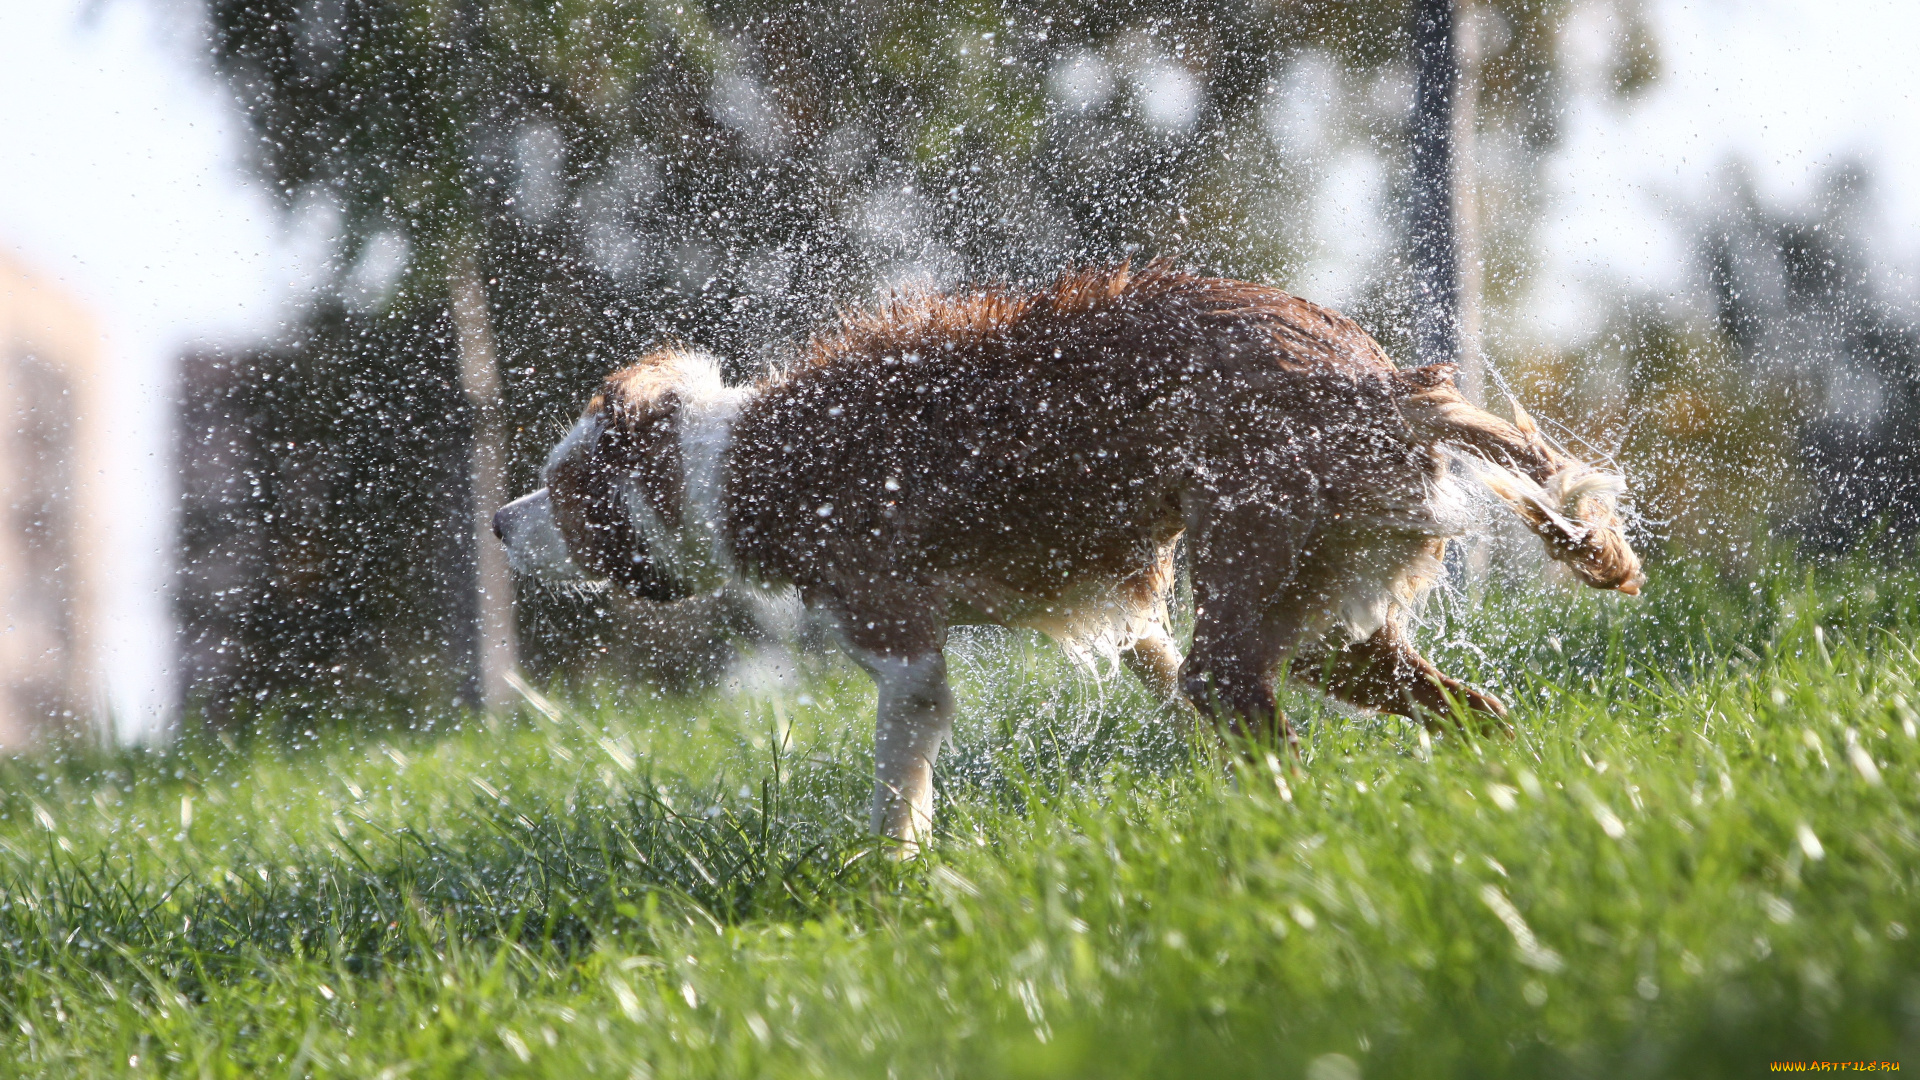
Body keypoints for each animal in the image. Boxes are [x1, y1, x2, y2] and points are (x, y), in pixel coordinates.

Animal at [491, 263, 1635, 849]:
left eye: (558, 490)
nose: (499, 525)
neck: (739, 463)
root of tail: (1388, 382)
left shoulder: (904, 652)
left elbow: (896, 789)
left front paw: (891, 879)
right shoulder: (1129, 618)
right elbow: (1156, 677)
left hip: (1263, 575)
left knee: (1263, 724)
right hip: (1330, 616)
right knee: (1473, 708)